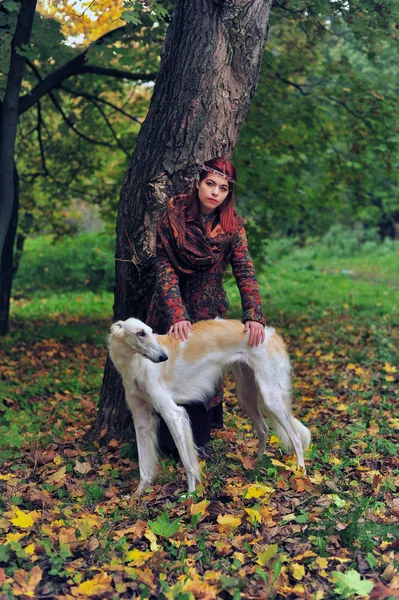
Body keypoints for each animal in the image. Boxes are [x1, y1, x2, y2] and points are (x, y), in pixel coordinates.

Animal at [109, 318, 312, 492]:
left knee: (295, 437)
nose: (163, 357)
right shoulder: (140, 416)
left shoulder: (173, 413)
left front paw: (190, 495)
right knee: (263, 429)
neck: (136, 365)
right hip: (245, 394)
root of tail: (271, 334)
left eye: (151, 332)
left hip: (270, 396)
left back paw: (300, 472)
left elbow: (188, 462)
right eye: (140, 333)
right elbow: (144, 463)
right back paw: (257, 464)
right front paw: (138, 494)